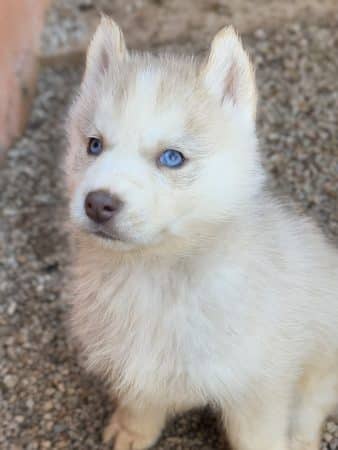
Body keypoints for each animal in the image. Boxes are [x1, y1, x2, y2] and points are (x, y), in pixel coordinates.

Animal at [65, 15, 338, 448]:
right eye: (94, 145)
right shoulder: (136, 362)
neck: (155, 274)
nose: (97, 203)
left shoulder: (257, 387)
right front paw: (132, 430)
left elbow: (260, 437)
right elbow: (140, 403)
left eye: (172, 158)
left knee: (313, 404)